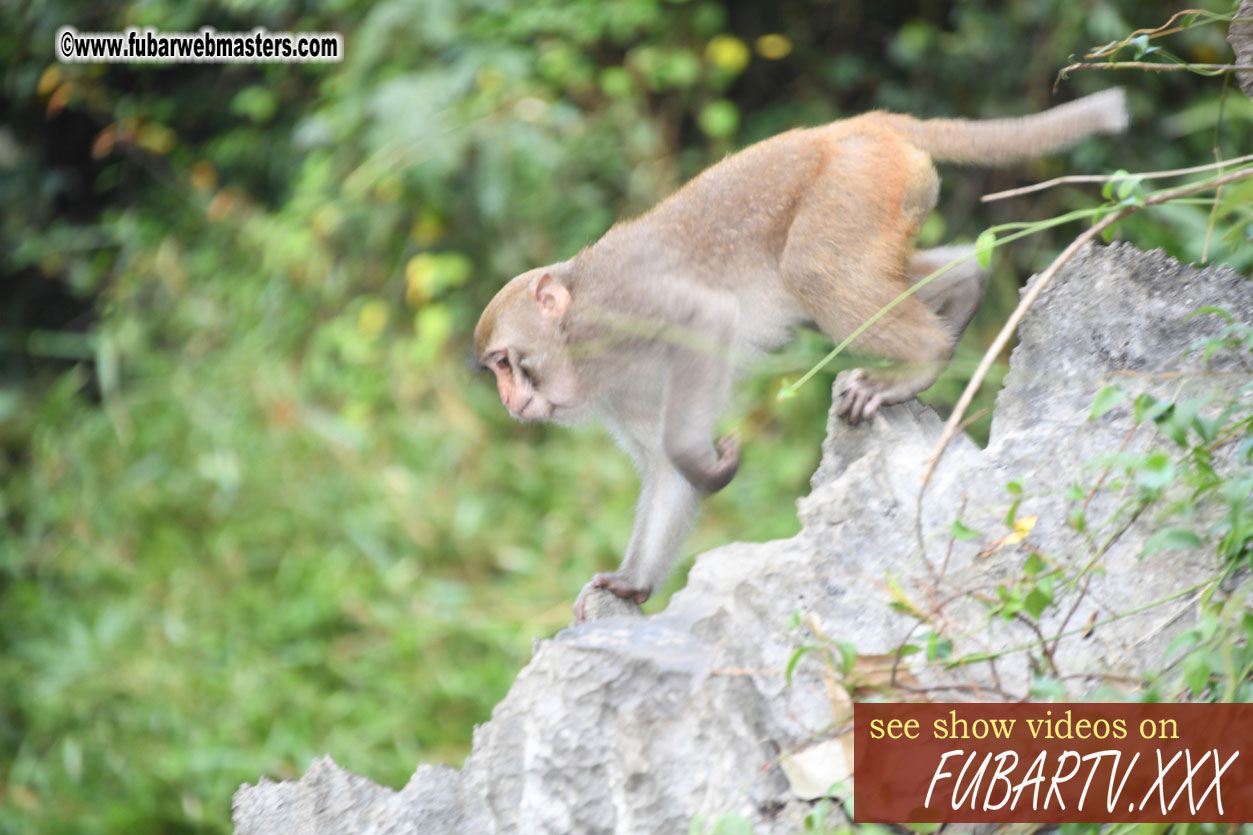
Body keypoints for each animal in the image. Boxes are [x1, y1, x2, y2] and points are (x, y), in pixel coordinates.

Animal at [473, 87, 1132, 616]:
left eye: (506, 362)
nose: (507, 400)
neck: (577, 345)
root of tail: (851, 128)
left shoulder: (618, 307)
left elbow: (705, 320)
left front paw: (706, 460)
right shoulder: (618, 395)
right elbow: (662, 471)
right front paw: (630, 583)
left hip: (852, 187)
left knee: (815, 271)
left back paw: (918, 362)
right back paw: (966, 283)